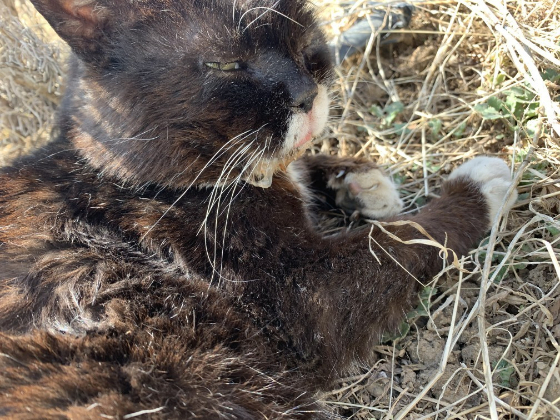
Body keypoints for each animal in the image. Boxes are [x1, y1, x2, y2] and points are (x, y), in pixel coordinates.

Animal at [0, 1, 516, 418]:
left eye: (298, 33)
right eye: (224, 63)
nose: (307, 93)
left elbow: (305, 168)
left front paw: (362, 183)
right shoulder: (303, 295)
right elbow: (394, 241)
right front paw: (475, 188)